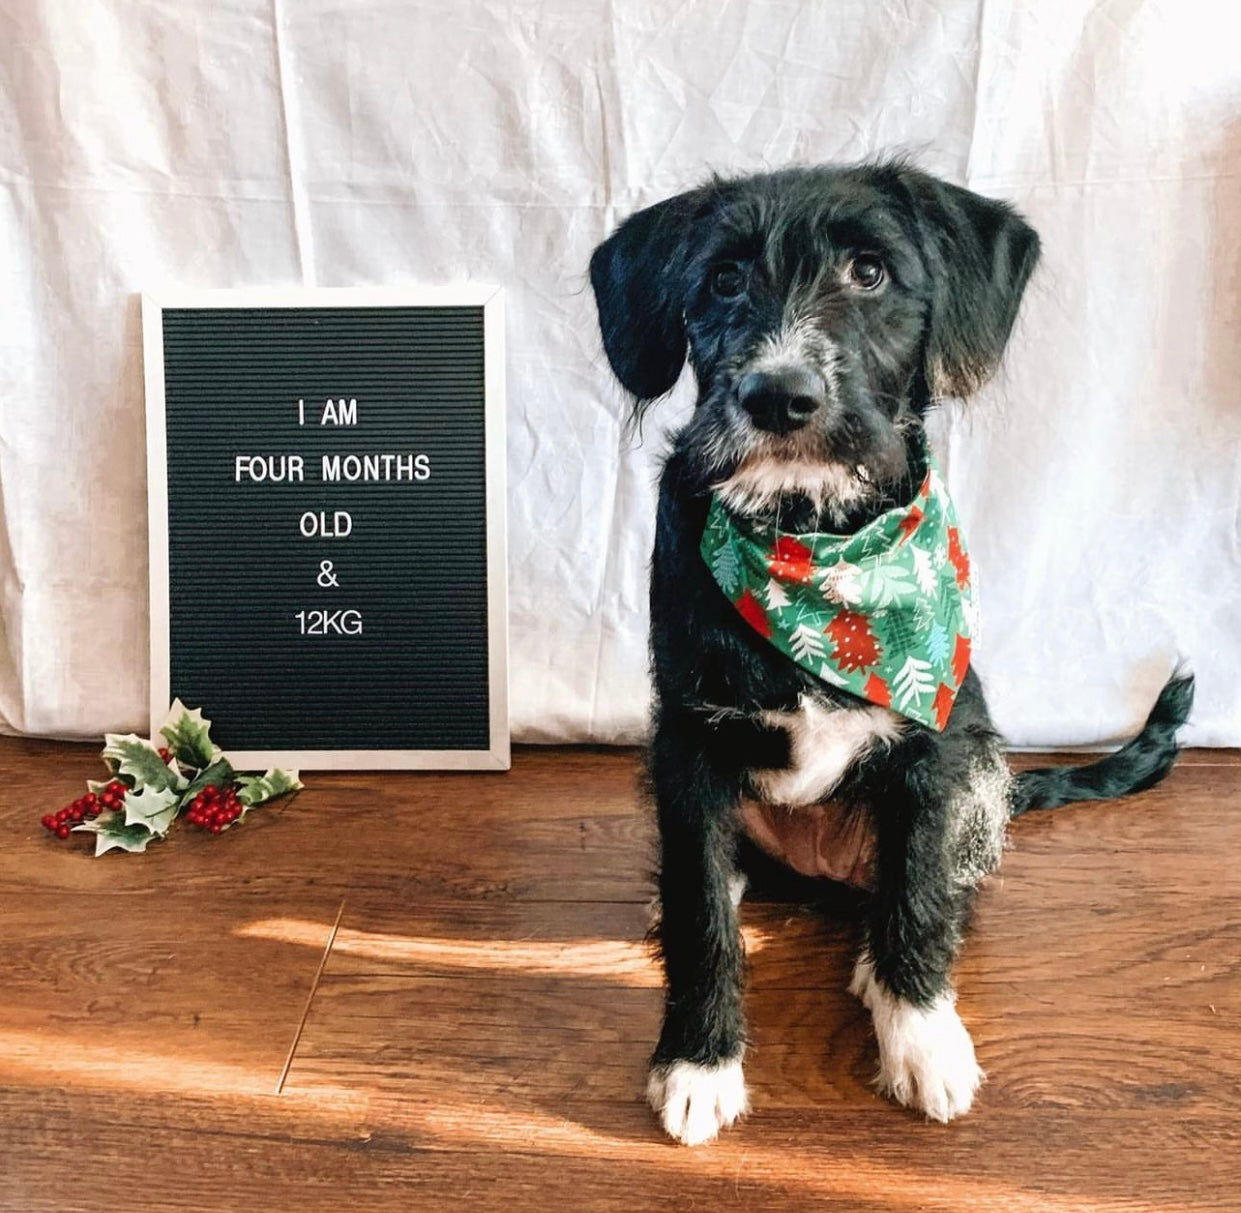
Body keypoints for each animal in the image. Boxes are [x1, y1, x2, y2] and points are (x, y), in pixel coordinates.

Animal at [590, 163, 1191, 1147]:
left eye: (869, 272)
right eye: (722, 279)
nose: (778, 396)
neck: (809, 536)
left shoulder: (933, 749)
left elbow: (915, 889)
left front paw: (921, 1037)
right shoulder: (686, 742)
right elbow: (701, 909)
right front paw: (698, 1060)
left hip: (981, 777)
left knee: (930, 891)